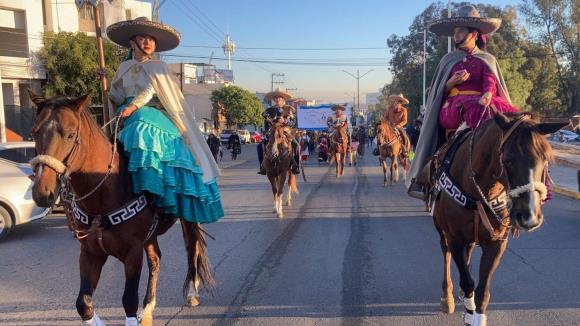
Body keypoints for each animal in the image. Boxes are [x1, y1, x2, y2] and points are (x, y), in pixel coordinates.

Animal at [27, 91, 213, 326]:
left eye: (70, 134)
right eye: (34, 132)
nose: (42, 192)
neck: (104, 193)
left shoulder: (133, 253)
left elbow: (128, 299)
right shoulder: (90, 252)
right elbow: (83, 303)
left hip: (188, 218)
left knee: (192, 248)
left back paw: (191, 293)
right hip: (149, 236)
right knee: (156, 260)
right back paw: (148, 308)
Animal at [428, 111, 568, 324]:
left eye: (545, 160)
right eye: (508, 159)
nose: (529, 216)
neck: (478, 193)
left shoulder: (496, 242)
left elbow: (482, 291)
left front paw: (476, 313)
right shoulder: (455, 238)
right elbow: (468, 282)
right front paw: (466, 308)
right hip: (442, 230)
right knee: (446, 253)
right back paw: (448, 296)